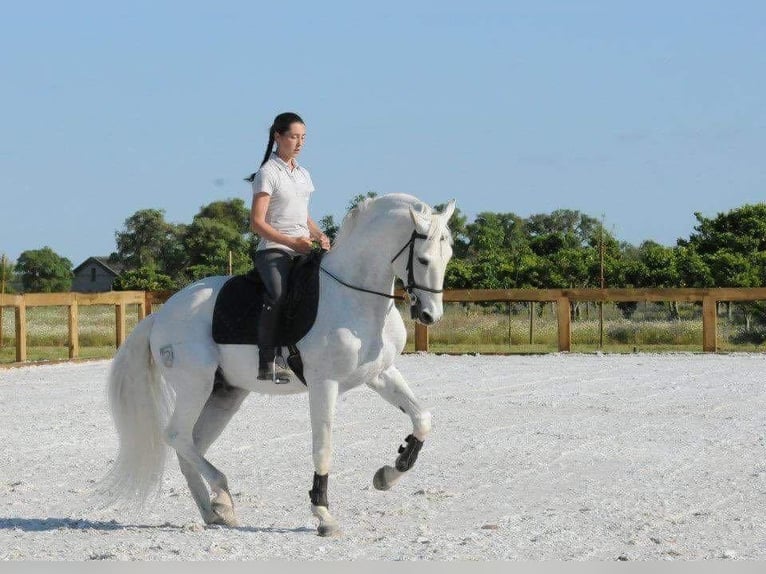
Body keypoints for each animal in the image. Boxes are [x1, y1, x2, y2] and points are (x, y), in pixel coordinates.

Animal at [96, 196, 456, 536]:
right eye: (423, 259)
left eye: (448, 255)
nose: (430, 316)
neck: (355, 296)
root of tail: (160, 316)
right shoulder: (324, 384)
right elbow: (323, 447)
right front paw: (324, 516)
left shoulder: (380, 374)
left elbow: (422, 419)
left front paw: (387, 475)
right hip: (194, 386)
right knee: (177, 436)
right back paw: (222, 495)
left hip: (225, 394)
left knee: (190, 444)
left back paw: (214, 511)